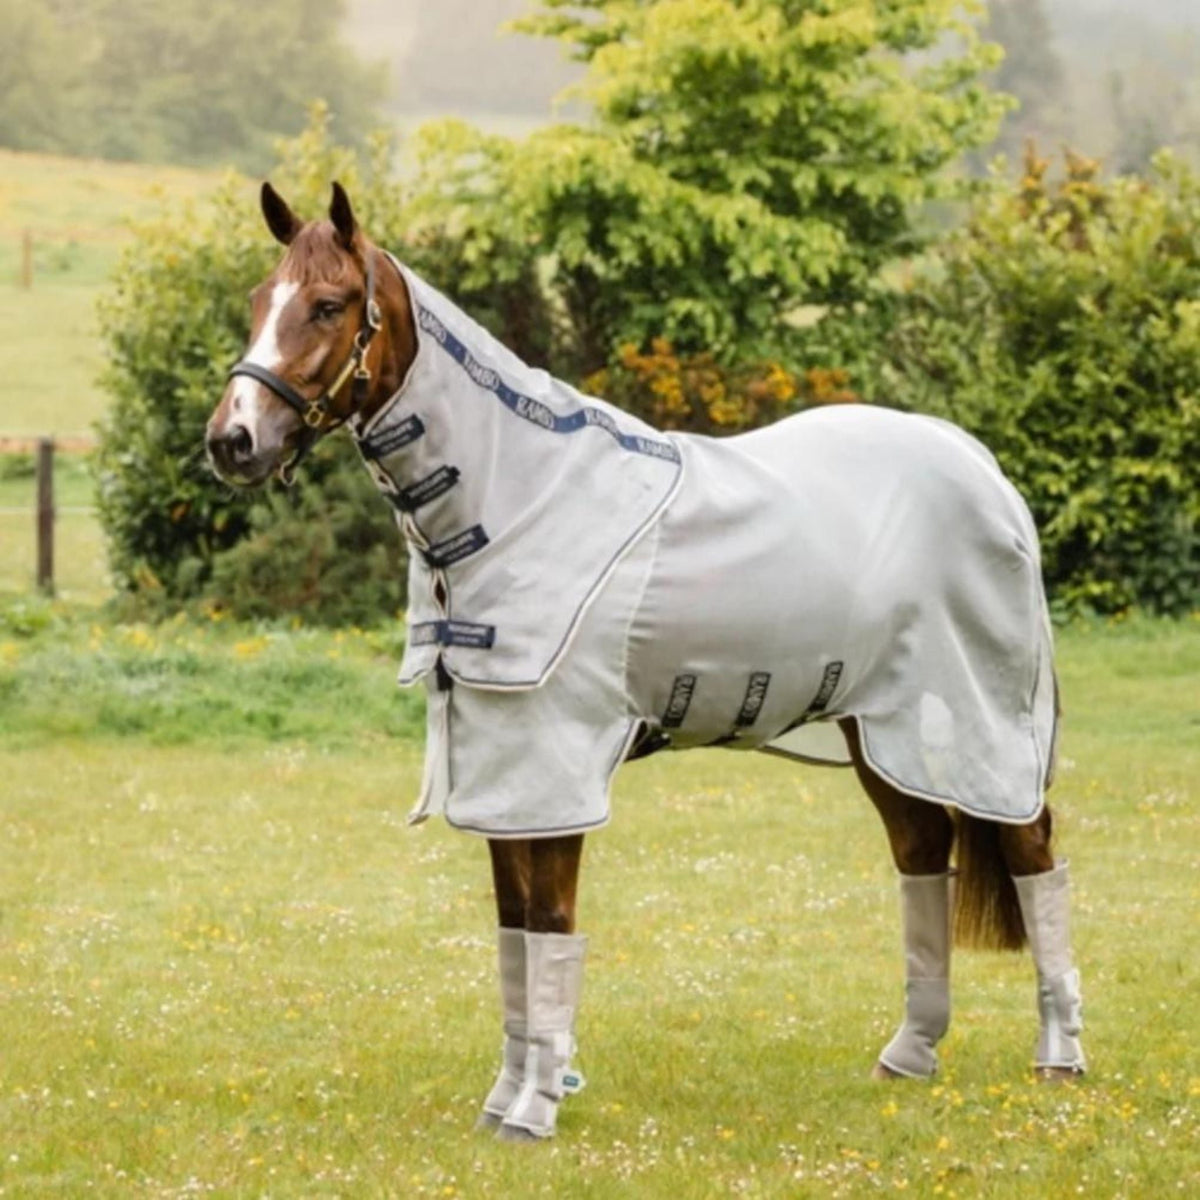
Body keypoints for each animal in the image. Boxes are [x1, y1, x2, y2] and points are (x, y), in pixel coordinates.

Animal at [205, 183, 1086, 1143]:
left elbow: (551, 925)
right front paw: (506, 1099)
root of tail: (979, 465)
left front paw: (535, 1111)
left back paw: (1059, 1058)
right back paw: (910, 1054)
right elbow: (515, 934)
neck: (520, 498)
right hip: (879, 729)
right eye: (258, 301)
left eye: (328, 305)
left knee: (1034, 853)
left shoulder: (552, 767)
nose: (232, 441)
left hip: (980, 720)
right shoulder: (502, 771)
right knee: (923, 853)